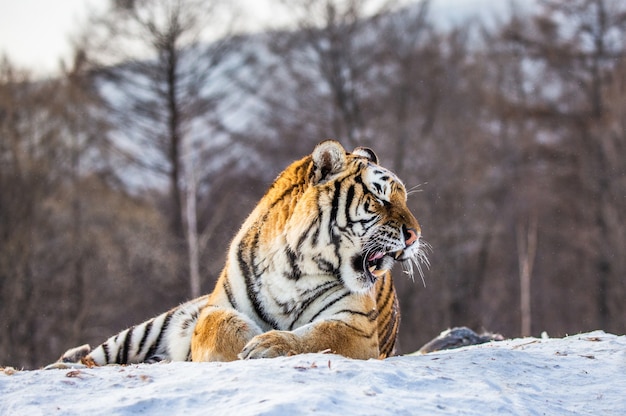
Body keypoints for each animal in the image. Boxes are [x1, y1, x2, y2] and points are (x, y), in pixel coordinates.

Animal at [48, 140, 426, 368]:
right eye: (378, 197)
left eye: (405, 198)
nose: (415, 235)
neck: (297, 266)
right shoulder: (216, 308)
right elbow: (222, 329)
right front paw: (247, 345)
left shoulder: (356, 327)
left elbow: (317, 336)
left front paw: (267, 345)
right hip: (143, 331)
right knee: (88, 358)